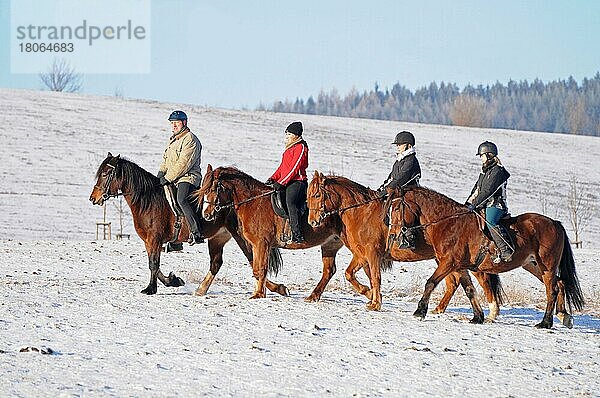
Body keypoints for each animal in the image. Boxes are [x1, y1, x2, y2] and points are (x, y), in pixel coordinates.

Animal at [87, 154, 290, 296]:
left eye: (105, 174)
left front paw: (151, 289)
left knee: (251, 260)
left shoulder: (154, 239)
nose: (93, 198)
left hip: (241, 237)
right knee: (218, 263)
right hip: (219, 237)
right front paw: (173, 280)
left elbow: (153, 264)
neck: (149, 200)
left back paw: (278, 288)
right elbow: (155, 265)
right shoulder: (149, 241)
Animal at [308, 171, 504, 324]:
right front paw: (369, 294)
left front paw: (375, 302)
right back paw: (440, 309)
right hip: (445, 259)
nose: (312, 222)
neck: (362, 212)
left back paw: (491, 313)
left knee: (481, 279)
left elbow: (375, 277)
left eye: (316, 195)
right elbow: (351, 274)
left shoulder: (372, 253)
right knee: (456, 282)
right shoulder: (361, 254)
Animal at [386, 187, 584, 330]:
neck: (447, 223)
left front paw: (420, 311)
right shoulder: (460, 266)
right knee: (559, 283)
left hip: (547, 265)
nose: (393, 234)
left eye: (396, 208)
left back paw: (545, 323)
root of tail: (554, 223)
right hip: (533, 265)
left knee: (552, 289)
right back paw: (564, 316)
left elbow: (430, 283)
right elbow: (469, 290)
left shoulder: (448, 263)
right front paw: (478, 317)